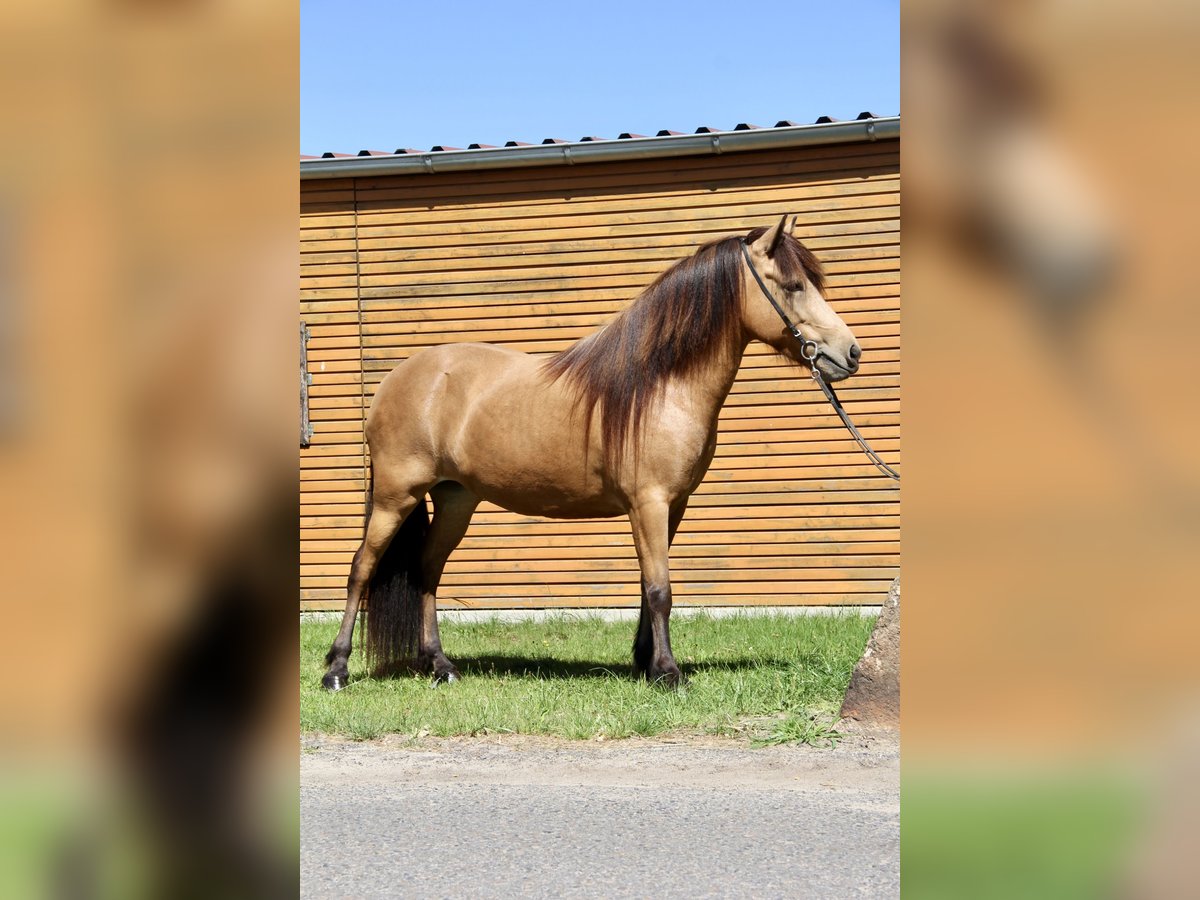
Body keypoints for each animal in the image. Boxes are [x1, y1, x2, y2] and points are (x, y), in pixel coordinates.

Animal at [319, 217, 864, 691]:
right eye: (792, 286)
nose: (851, 352)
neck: (660, 385)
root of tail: (395, 381)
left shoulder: (672, 506)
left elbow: (649, 587)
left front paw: (645, 663)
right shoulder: (648, 502)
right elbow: (660, 590)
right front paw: (668, 674)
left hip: (455, 500)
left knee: (427, 571)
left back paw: (440, 666)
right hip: (396, 497)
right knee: (361, 569)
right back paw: (337, 670)